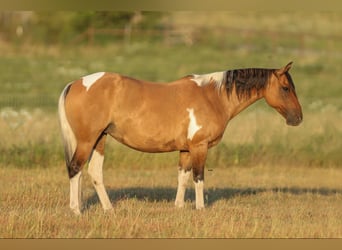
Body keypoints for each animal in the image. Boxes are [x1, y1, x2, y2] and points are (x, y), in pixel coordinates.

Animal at [58, 61, 302, 214]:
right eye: (285, 88)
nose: (298, 118)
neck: (213, 97)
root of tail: (74, 84)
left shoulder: (185, 149)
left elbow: (183, 177)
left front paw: (179, 207)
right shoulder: (199, 146)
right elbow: (198, 177)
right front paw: (200, 208)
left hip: (100, 139)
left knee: (94, 172)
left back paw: (108, 209)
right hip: (87, 140)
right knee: (75, 168)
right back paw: (76, 210)